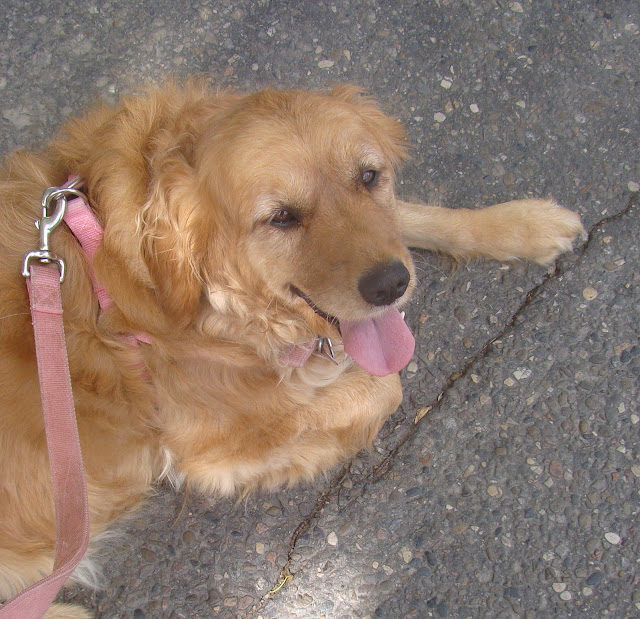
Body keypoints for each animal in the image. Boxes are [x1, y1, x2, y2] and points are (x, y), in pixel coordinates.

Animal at [0, 82, 584, 616]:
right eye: (281, 218)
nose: (390, 285)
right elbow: (385, 386)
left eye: (368, 177)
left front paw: (520, 224)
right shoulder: (213, 443)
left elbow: (412, 216)